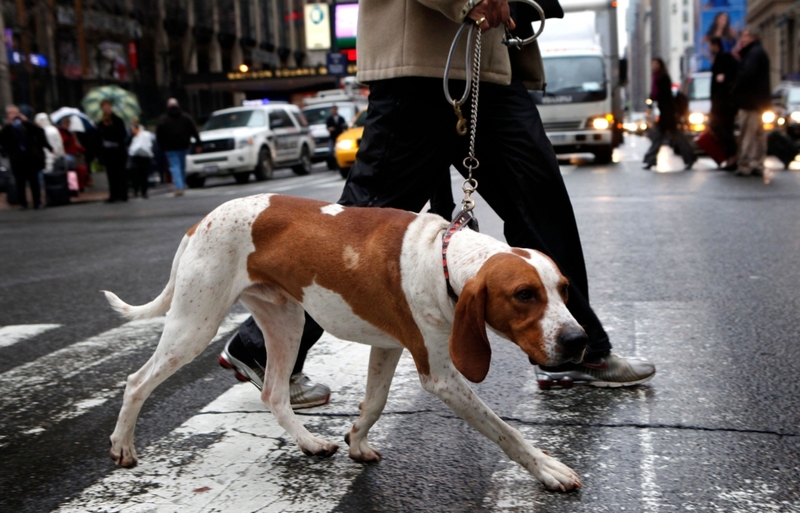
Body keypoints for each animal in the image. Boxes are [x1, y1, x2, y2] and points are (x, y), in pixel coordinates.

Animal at [104, 194, 588, 490]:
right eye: (524, 295)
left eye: (564, 289)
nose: (579, 340)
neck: (443, 259)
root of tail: (199, 222)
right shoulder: (440, 376)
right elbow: (506, 430)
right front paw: (546, 467)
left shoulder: (388, 346)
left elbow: (374, 403)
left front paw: (355, 439)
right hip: (194, 324)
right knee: (137, 381)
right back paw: (124, 446)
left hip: (286, 319)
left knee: (274, 393)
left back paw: (308, 442)